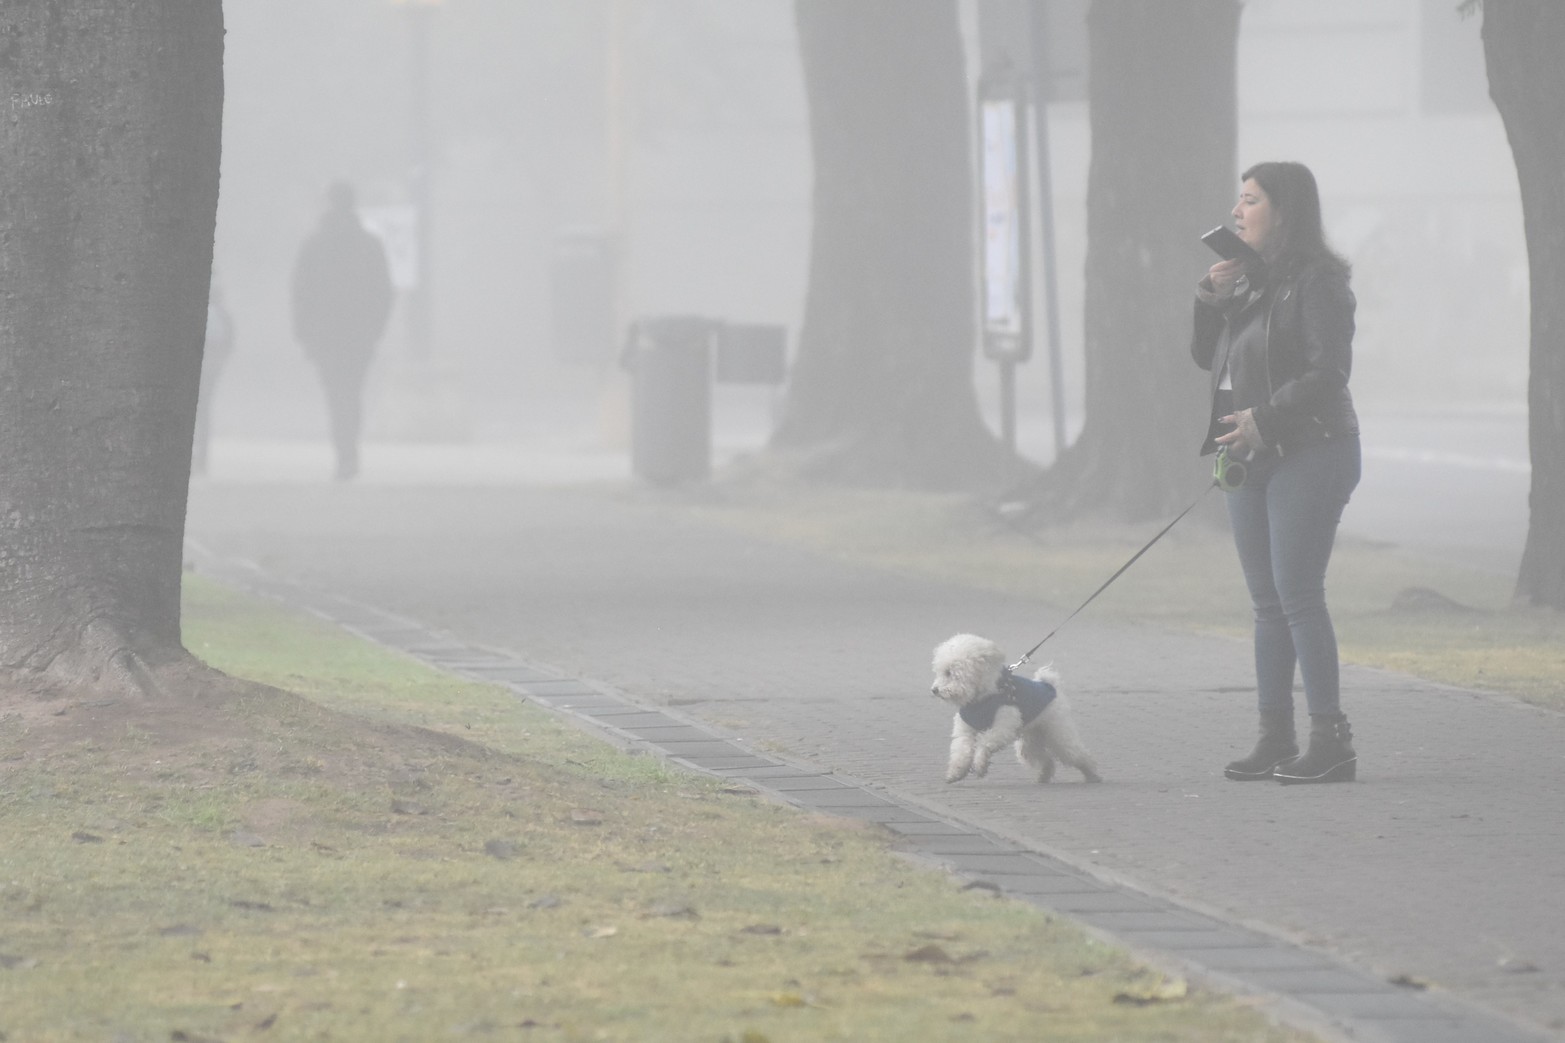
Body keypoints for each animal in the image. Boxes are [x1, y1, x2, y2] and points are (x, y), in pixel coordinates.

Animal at [926, 632, 1101, 779]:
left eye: (949, 672)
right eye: (939, 672)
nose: (934, 690)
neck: (981, 699)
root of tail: (1050, 685)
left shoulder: (1003, 726)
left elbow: (984, 742)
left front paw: (980, 765)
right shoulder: (966, 729)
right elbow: (962, 750)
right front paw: (956, 772)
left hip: (1058, 734)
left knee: (1078, 754)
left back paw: (1093, 775)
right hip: (1030, 741)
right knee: (1045, 759)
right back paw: (1044, 776)